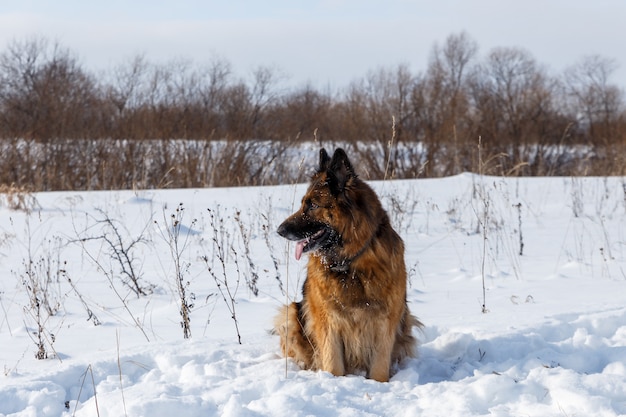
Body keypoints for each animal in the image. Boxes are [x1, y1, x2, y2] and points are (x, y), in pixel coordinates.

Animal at [272, 148, 420, 382]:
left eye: (312, 205)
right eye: (303, 203)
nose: (279, 230)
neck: (351, 264)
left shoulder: (386, 322)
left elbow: (379, 368)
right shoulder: (328, 322)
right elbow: (333, 365)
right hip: (292, 314)